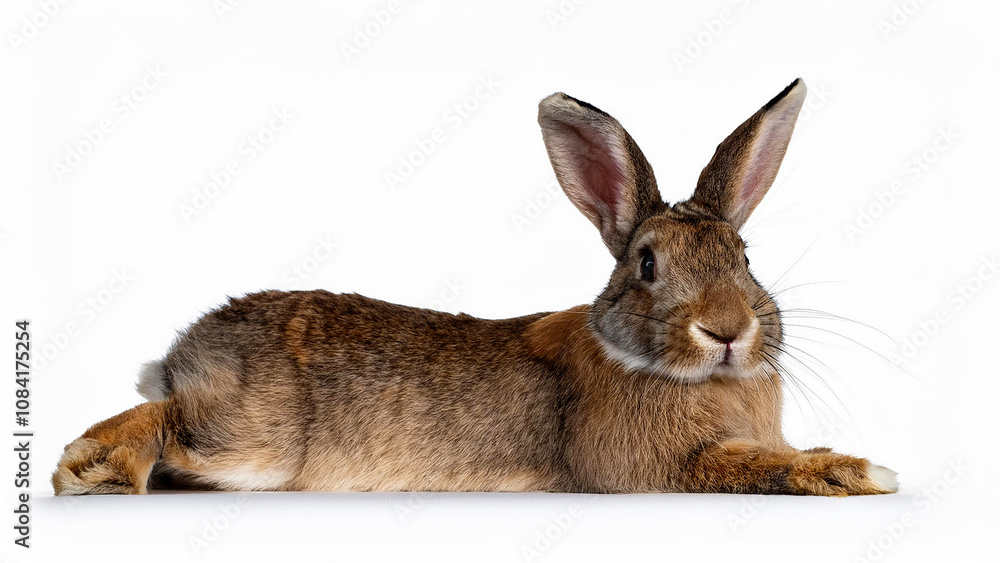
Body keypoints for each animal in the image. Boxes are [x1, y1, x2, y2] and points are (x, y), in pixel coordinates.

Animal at [52, 78, 898, 496]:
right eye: (647, 264)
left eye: (745, 255)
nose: (726, 329)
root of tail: (184, 352)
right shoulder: (653, 467)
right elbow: (749, 466)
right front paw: (858, 472)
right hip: (252, 441)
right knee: (166, 419)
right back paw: (93, 469)